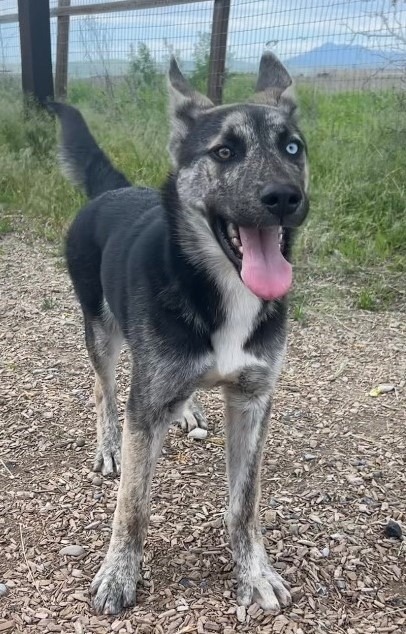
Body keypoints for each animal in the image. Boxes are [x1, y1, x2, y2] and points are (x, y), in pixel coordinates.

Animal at [49, 51, 310, 616]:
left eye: (292, 147)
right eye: (225, 151)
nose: (285, 197)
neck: (223, 289)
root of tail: (113, 189)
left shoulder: (253, 400)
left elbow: (244, 505)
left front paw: (254, 572)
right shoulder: (144, 407)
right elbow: (132, 504)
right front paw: (119, 574)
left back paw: (188, 408)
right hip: (101, 331)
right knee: (103, 389)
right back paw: (108, 444)